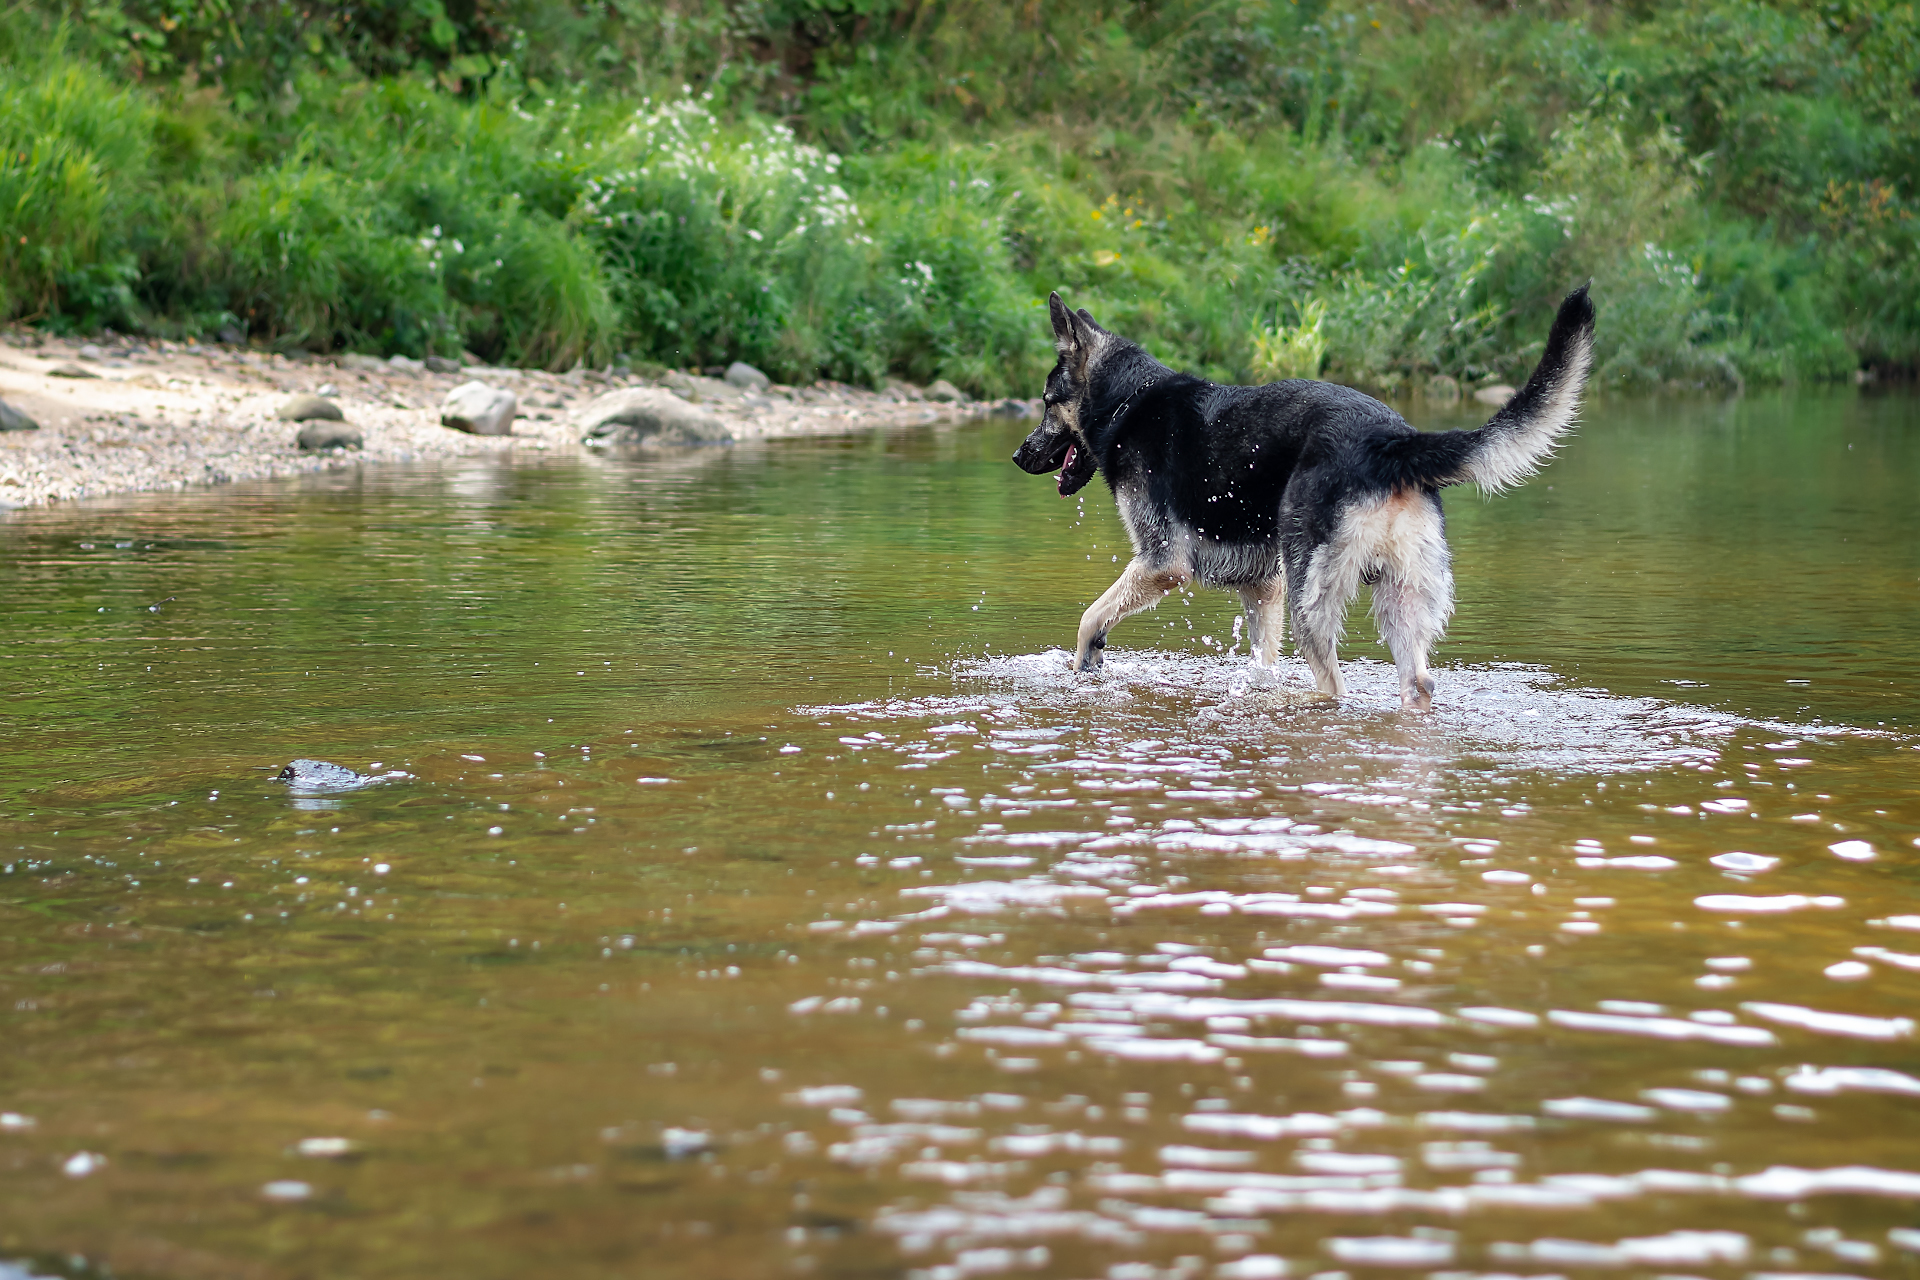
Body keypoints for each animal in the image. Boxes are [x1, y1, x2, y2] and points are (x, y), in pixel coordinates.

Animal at [1013, 285, 1597, 710]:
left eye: (1045, 401)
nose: (1019, 456)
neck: (1127, 401)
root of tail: (1391, 439)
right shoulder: (1262, 586)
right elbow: (1263, 661)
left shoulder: (1163, 563)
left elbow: (1090, 616)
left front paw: (1086, 662)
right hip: (1397, 598)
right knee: (1417, 684)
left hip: (1310, 600)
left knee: (1333, 686)